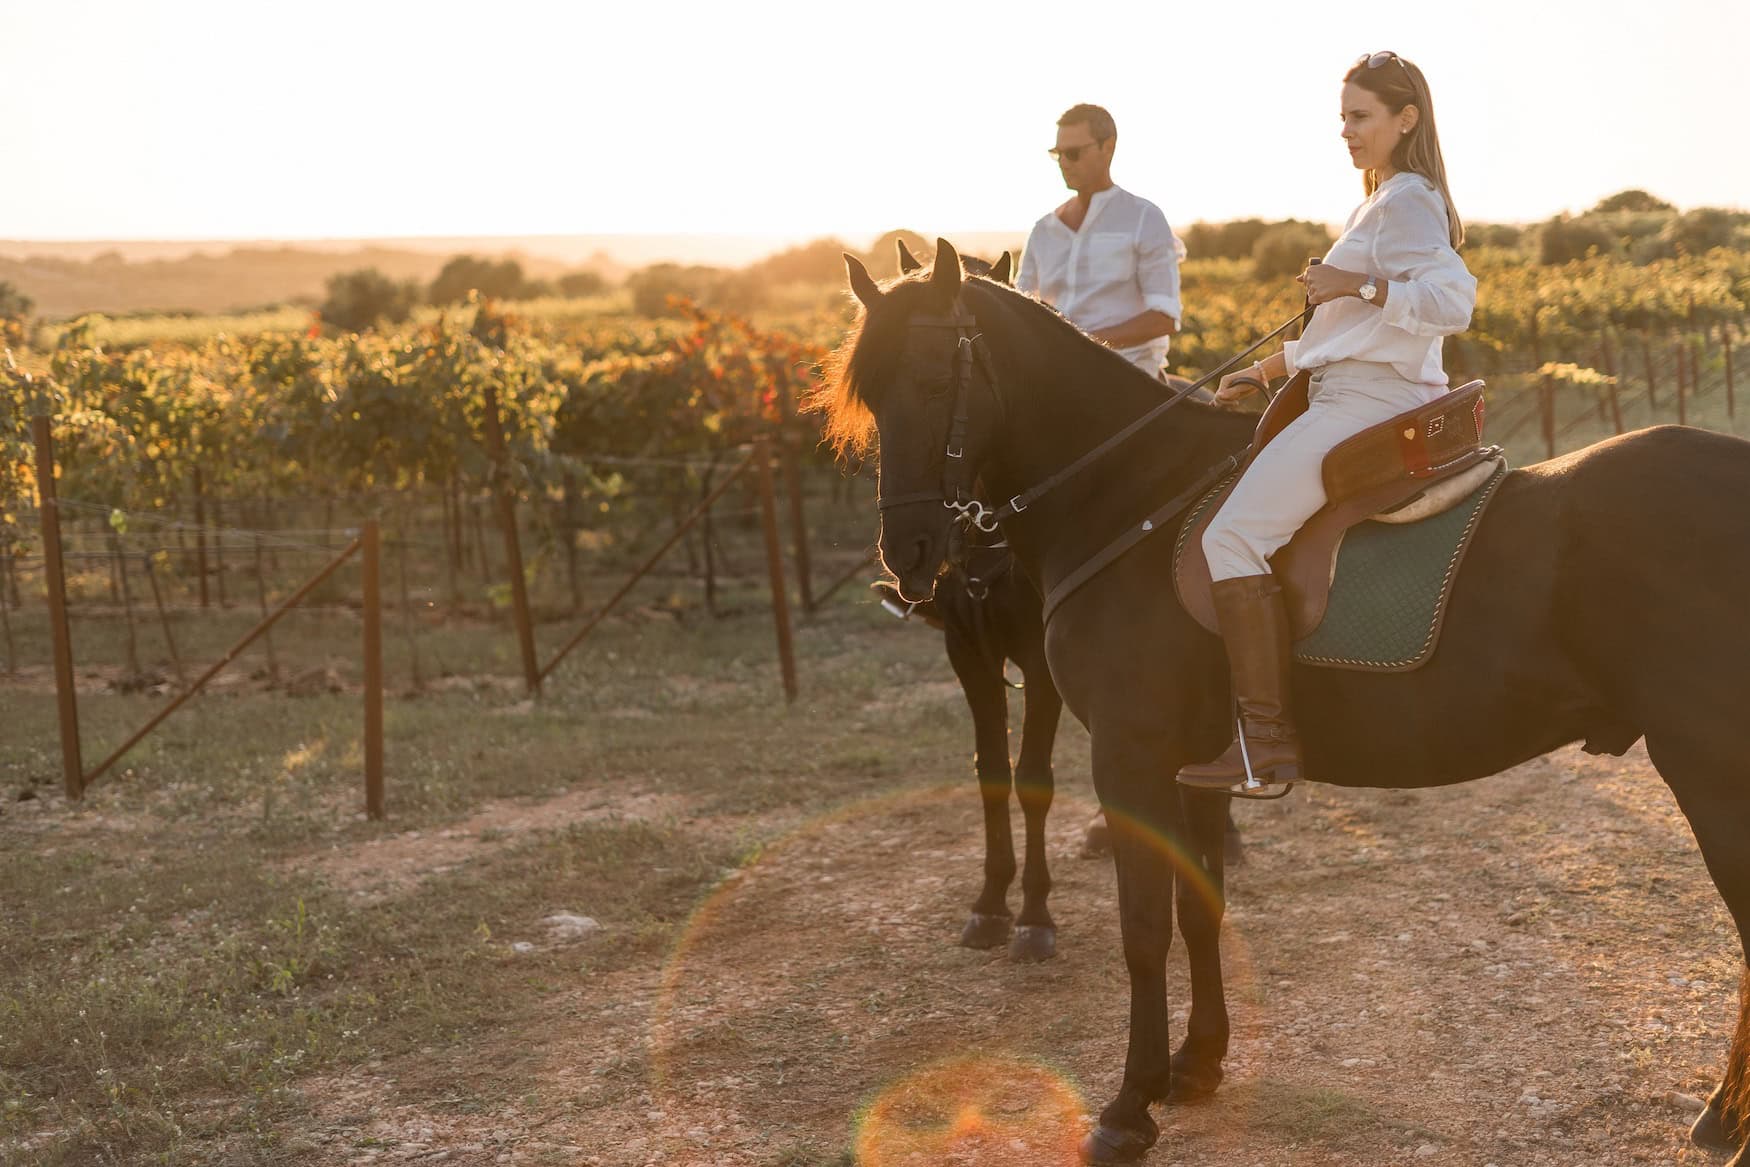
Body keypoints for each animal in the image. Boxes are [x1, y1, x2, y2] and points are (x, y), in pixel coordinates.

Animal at [819, 241, 1750, 1161]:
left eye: (933, 381)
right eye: (869, 397)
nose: (910, 552)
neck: (1128, 499)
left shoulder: (1129, 754)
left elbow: (1143, 928)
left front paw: (1128, 1107)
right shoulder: (1195, 769)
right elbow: (1200, 909)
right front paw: (1195, 1065)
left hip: (1709, 772)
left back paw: (1725, 1119)